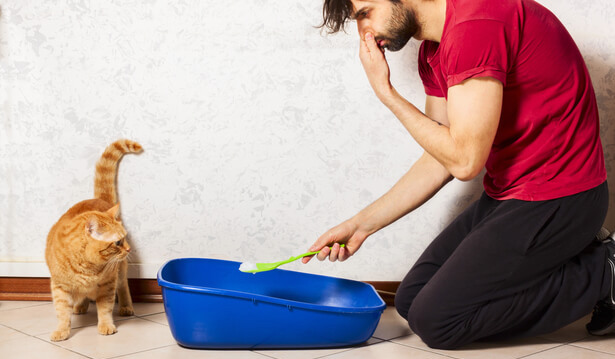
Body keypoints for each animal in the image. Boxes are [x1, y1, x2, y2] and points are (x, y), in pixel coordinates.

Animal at [45, 139, 143, 342]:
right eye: (118, 243)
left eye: (124, 238)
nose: (128, 249)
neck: (86, 267)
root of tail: (98, 199)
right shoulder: (59, 286)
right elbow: (62, 312)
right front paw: (62, 330)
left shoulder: (108, 284)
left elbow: (105, 308)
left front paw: (106, 325)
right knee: (82, 297)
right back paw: (80, 306)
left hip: (120, 271)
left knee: (124, 287)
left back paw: (125, 307)